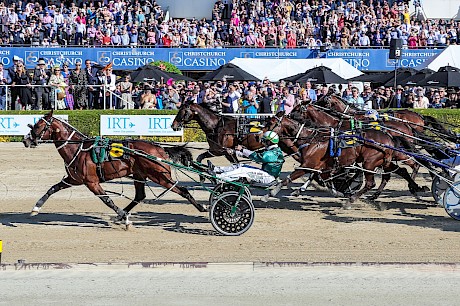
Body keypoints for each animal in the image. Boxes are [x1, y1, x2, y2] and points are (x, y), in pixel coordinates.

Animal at [22, 111, 207, 226]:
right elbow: (53, 188)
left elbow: (107, 200)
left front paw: (125, 219)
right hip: (140, 175)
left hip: (160, 176)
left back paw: (202, 208)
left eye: (37, 126)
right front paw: (36, 208)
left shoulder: (91, 182)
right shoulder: (73, 179)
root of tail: (159, 148)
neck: (78, 149)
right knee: (140, 196)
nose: (26, 140)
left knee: (182, 190)